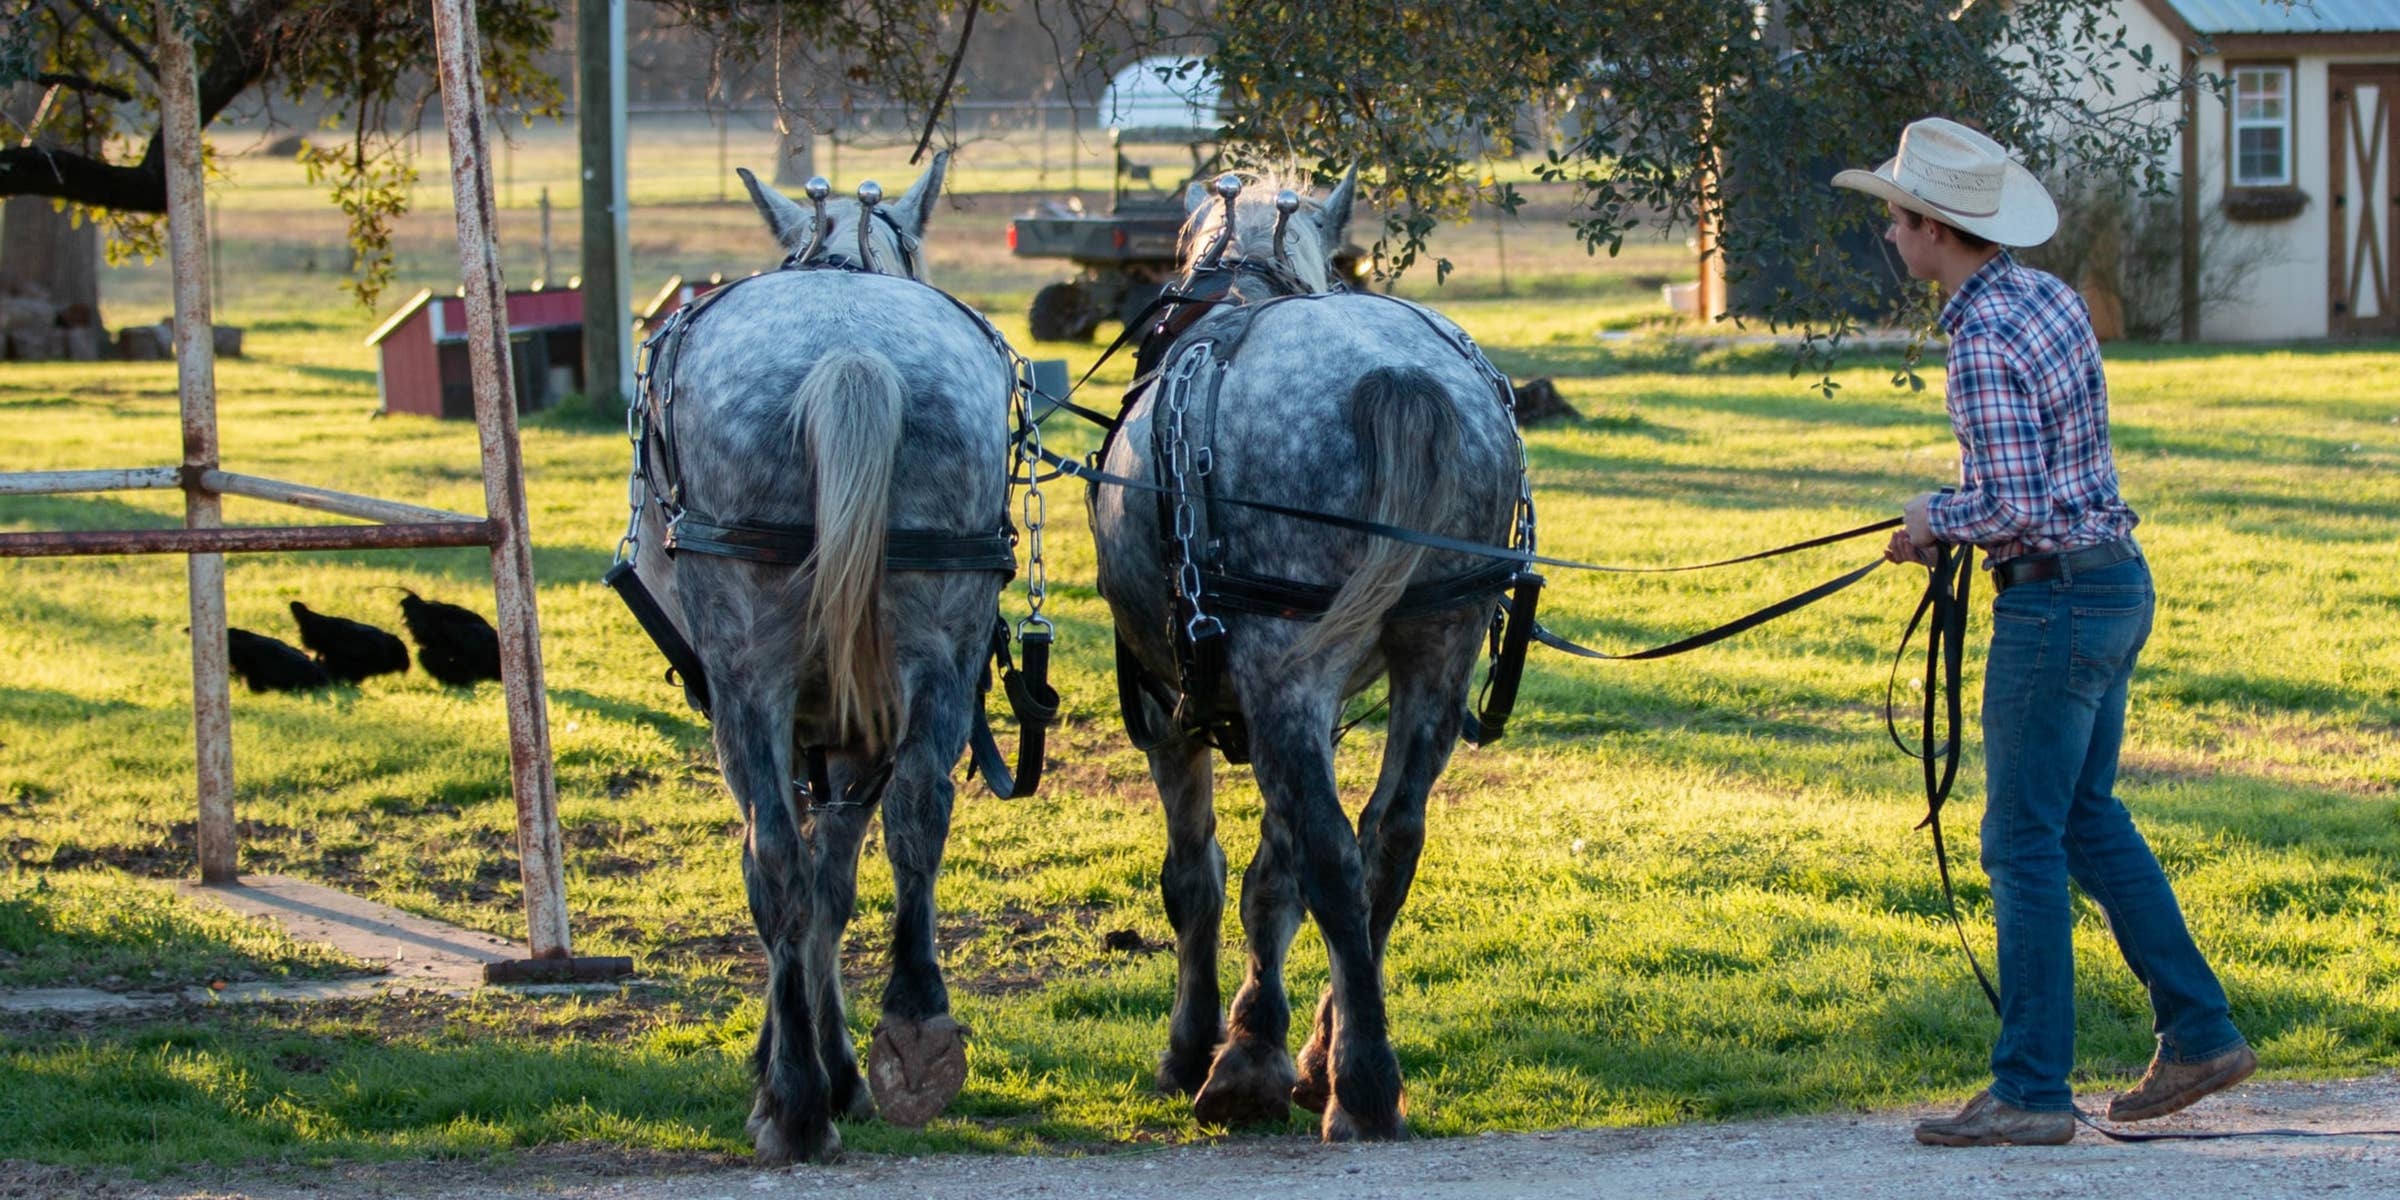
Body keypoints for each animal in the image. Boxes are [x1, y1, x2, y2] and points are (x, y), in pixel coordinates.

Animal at [624, 154, 1008, 1156]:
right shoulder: (858, 725)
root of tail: (850, 356)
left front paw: (802, 1067)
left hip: (746, 683)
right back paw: (914, 1034)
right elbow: (840, 877)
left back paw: (794, 1100)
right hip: (941, 649)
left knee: (772, 864)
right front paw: (847, 1068)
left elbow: (801, 879)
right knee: (916, 819)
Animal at [1089, 171, 1516, 1142]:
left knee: (1330, 849)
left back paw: (1350, 1084)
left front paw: (1204, 1051)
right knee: (1387, 839)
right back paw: (1333, 1053)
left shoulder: (1173, 706)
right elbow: (1270, 880)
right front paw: (1268, 1039)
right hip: (1443, 642)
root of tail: (1398, 379)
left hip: (1281, 670)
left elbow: (1199, 878)